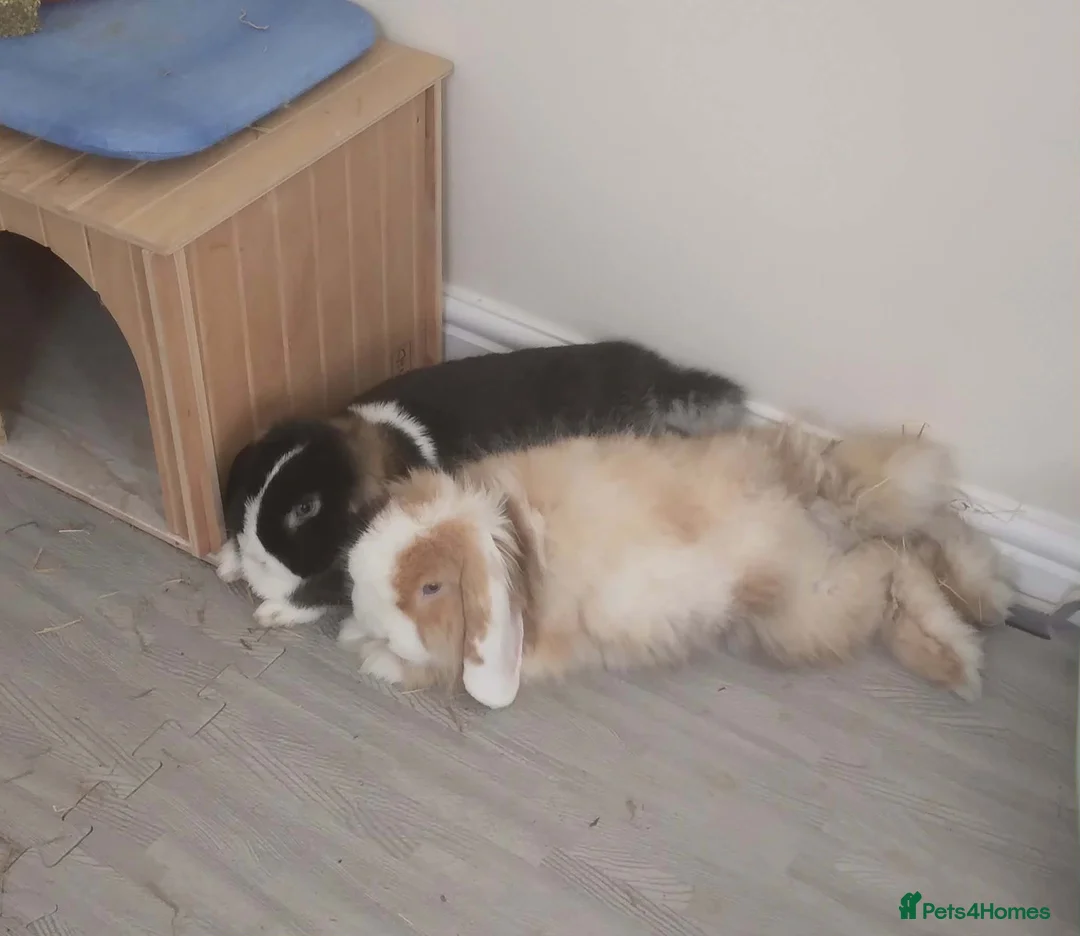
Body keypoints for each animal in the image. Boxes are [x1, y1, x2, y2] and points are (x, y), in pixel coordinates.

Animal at [213, 340, 746, 628]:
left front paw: (275, 612)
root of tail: (656, 381)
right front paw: (227, 563)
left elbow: (327, 593)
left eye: (306, 509)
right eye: (256, 479)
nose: (253, 551)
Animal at [338, 423, 1013, 707]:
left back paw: (958, 654)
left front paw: (376, 658)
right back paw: (982, 604)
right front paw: (354, 634)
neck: (518, 545)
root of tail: (811, 508)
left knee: (895, 558)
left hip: (803, 615)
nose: (360, 598)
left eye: (431, 586)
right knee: (926, 533)